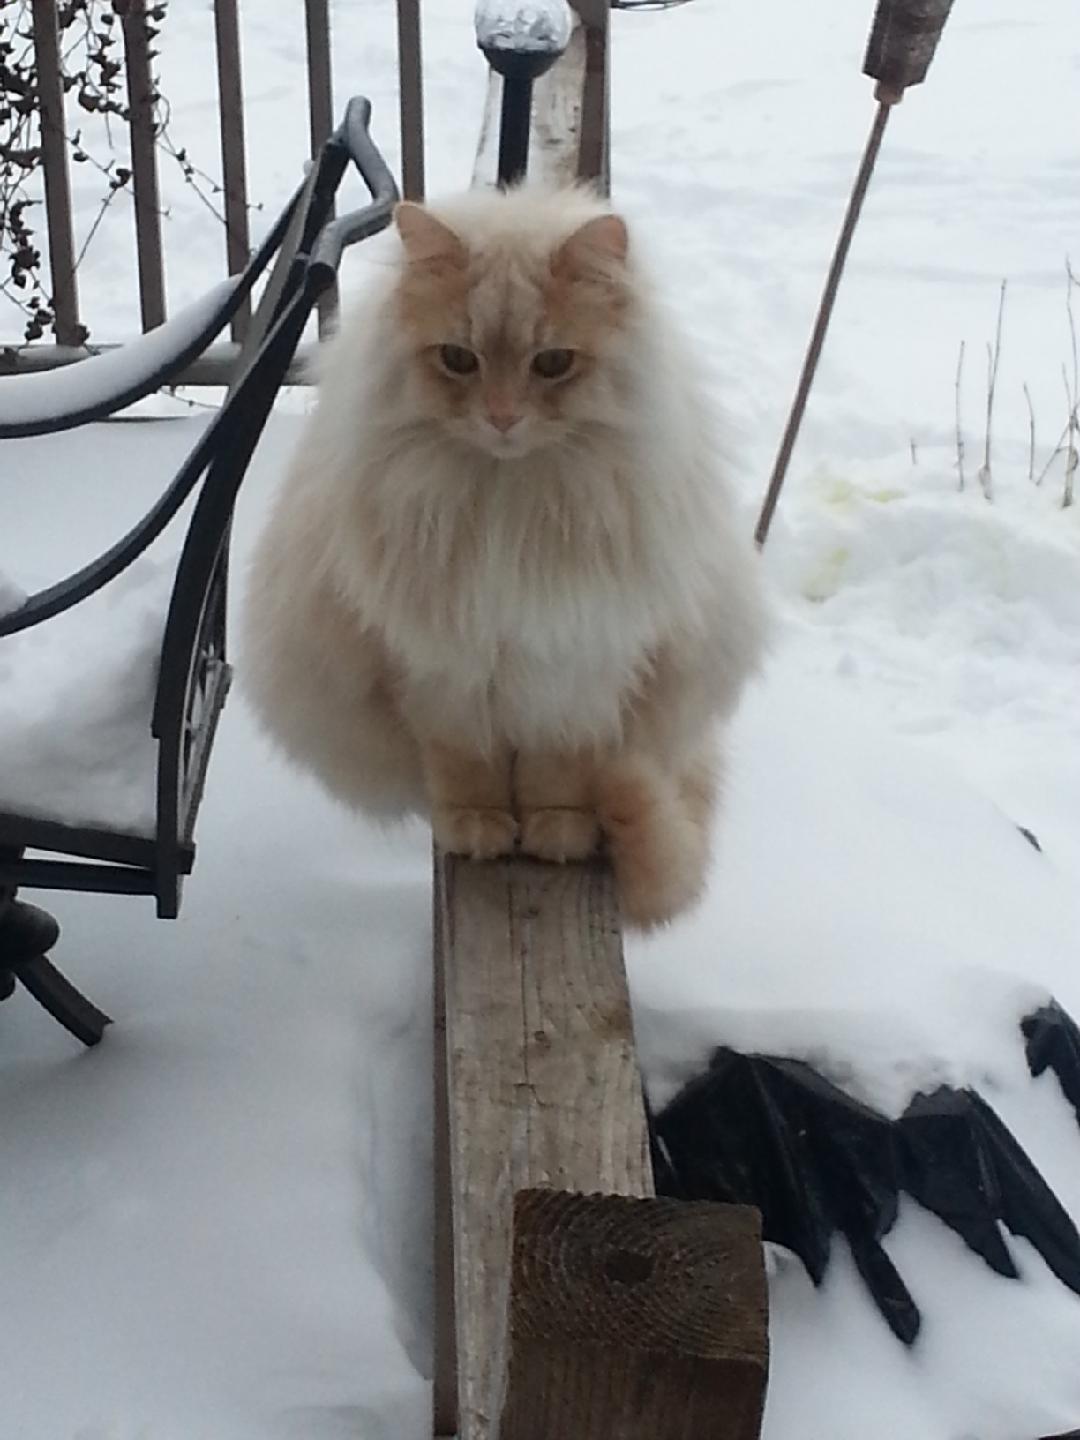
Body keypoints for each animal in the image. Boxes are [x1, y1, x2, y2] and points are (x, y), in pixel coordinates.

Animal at [244, 182, 771, 921]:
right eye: (457, 359)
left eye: (552, 363)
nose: (500, 419)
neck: (508, 506)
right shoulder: (439, 675)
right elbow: (468, 770)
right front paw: (479, 829)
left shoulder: (571, 668)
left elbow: (558, 774)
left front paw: (554, 833)